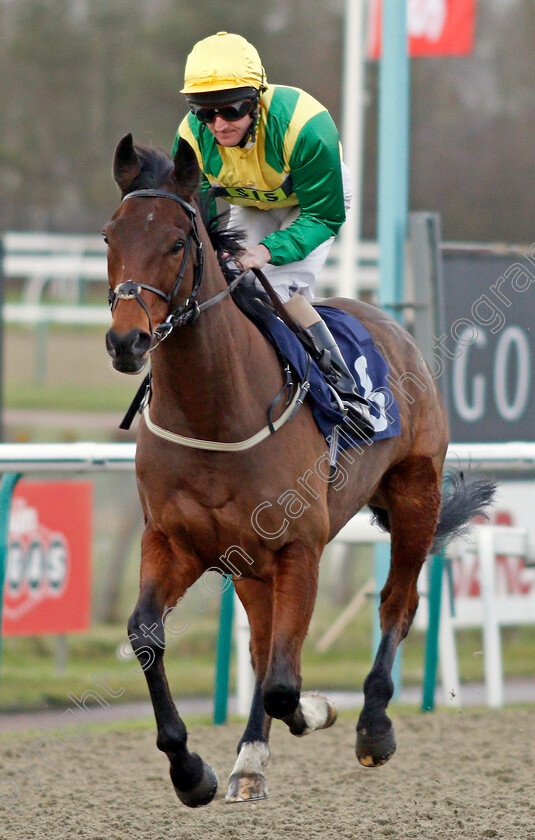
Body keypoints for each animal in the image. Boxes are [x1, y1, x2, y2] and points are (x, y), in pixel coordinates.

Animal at [103, 133, 494, 808]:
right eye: (109, 237)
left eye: (176, 244)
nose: (126, 342)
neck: (215, 412)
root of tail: (390, 322)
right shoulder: (176, 542)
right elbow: (149, 635)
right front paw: (191, 770)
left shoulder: (298, 549)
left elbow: (286, 683)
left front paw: (321, 709)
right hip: (250, 564)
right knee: (263, 644)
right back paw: (249, 761)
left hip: (415, 496)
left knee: (396, 604)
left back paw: (372, 726)